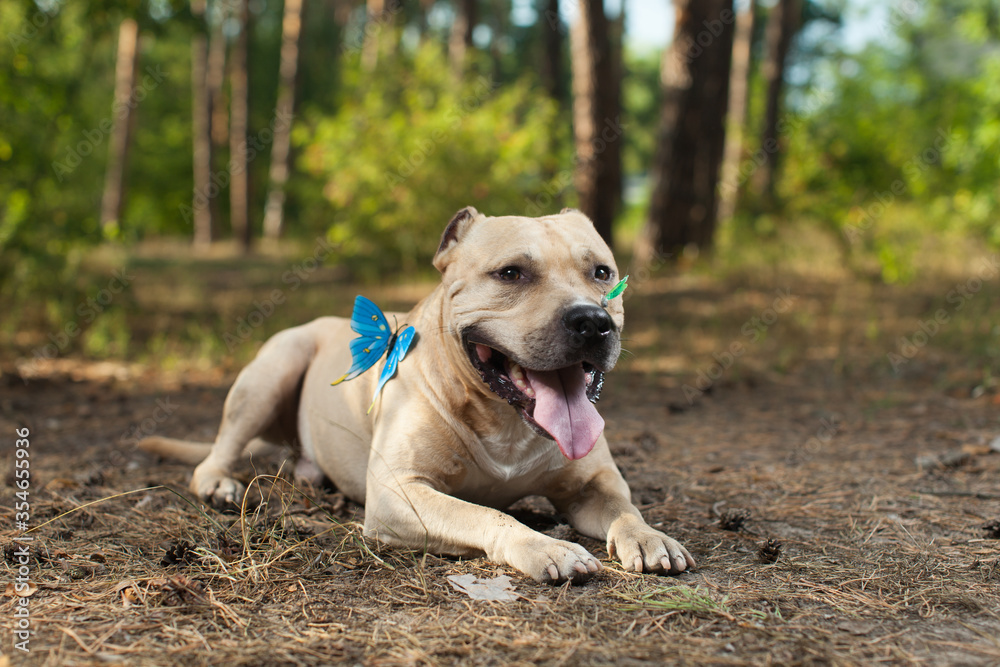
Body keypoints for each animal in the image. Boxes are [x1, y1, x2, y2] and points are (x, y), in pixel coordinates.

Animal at [141, 209, 692, 584]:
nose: (592, 321)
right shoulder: (397, 493)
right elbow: (487, 513)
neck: (505, 419)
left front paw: (649, 535)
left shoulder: (593, 483)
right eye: (511, 273)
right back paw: (218, 482)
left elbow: (624, 507)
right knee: (218, 452)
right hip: (272, 368)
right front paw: (544, 547)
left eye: (602, 272)